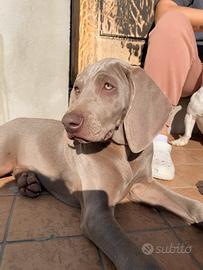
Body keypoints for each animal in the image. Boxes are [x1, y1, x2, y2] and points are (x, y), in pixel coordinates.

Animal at [0, 59, 203, 270]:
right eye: (77, 89)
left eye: (108, 86)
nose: (68, 122)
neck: (123, 152)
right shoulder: (97, 215)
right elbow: (132, 253)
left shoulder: (143, 186)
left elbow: (191, 205)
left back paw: (28, 182)